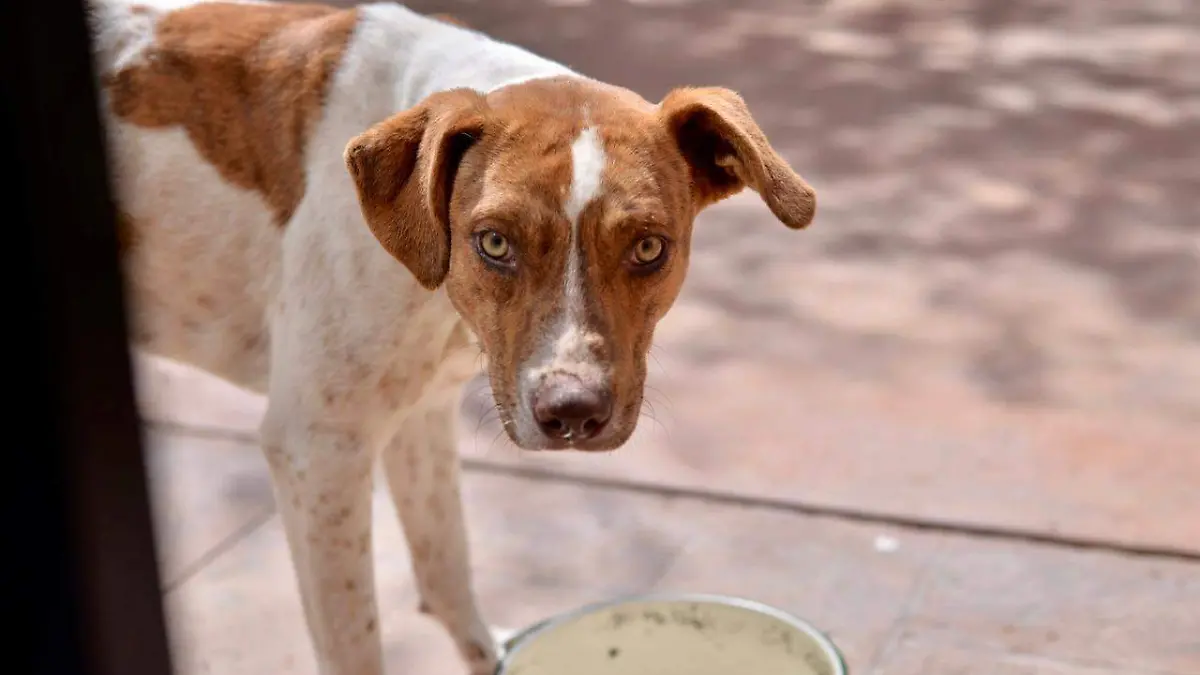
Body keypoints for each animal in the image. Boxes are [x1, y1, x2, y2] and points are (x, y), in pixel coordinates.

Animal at [84, 2, 816, 667]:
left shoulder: (421, 412)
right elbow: (355, 643)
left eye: (647, 247)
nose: (573, 413)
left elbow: (446, 569)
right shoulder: (319, 449)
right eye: (493, 242)